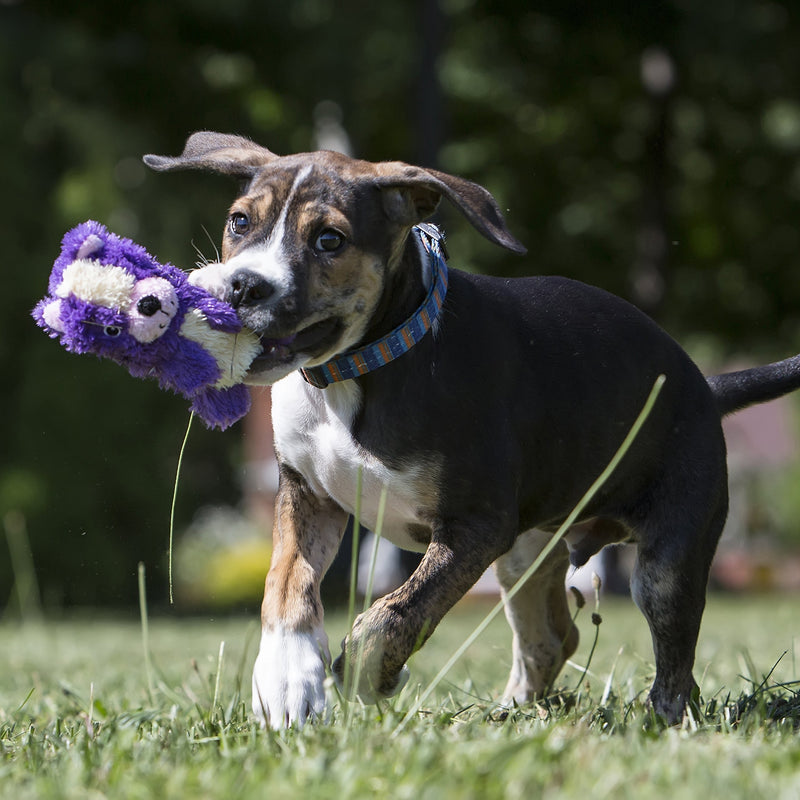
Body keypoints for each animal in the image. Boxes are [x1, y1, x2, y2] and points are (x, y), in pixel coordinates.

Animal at [147, 133, 800, 732]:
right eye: (240, 222)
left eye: (329, 240)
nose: (241, 286)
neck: (359, 372)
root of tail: (707, 388)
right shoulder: (306, 493)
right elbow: (286, 584)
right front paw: (287, 680)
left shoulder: (475, 525)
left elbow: (397, 610)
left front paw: (368, 673)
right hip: (526, 551)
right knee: (552, 638)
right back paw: (510, 713)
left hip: (665, 554)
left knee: (674, 661)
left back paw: (659, 726)